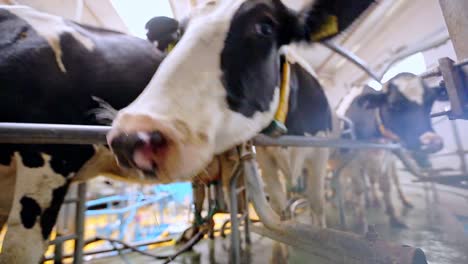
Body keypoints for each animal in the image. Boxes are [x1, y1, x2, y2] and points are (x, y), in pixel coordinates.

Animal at [334, 72, 448, 231]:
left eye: (430, 101)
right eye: (394, 104)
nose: (433, 141)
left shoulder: (386, 155)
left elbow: (386, 185)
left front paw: (394, 218)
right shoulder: (352, 160)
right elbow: (358, 189)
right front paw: (362, 224)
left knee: (379, 180)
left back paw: (381, 200)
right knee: (349, 183)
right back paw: (351, 202)